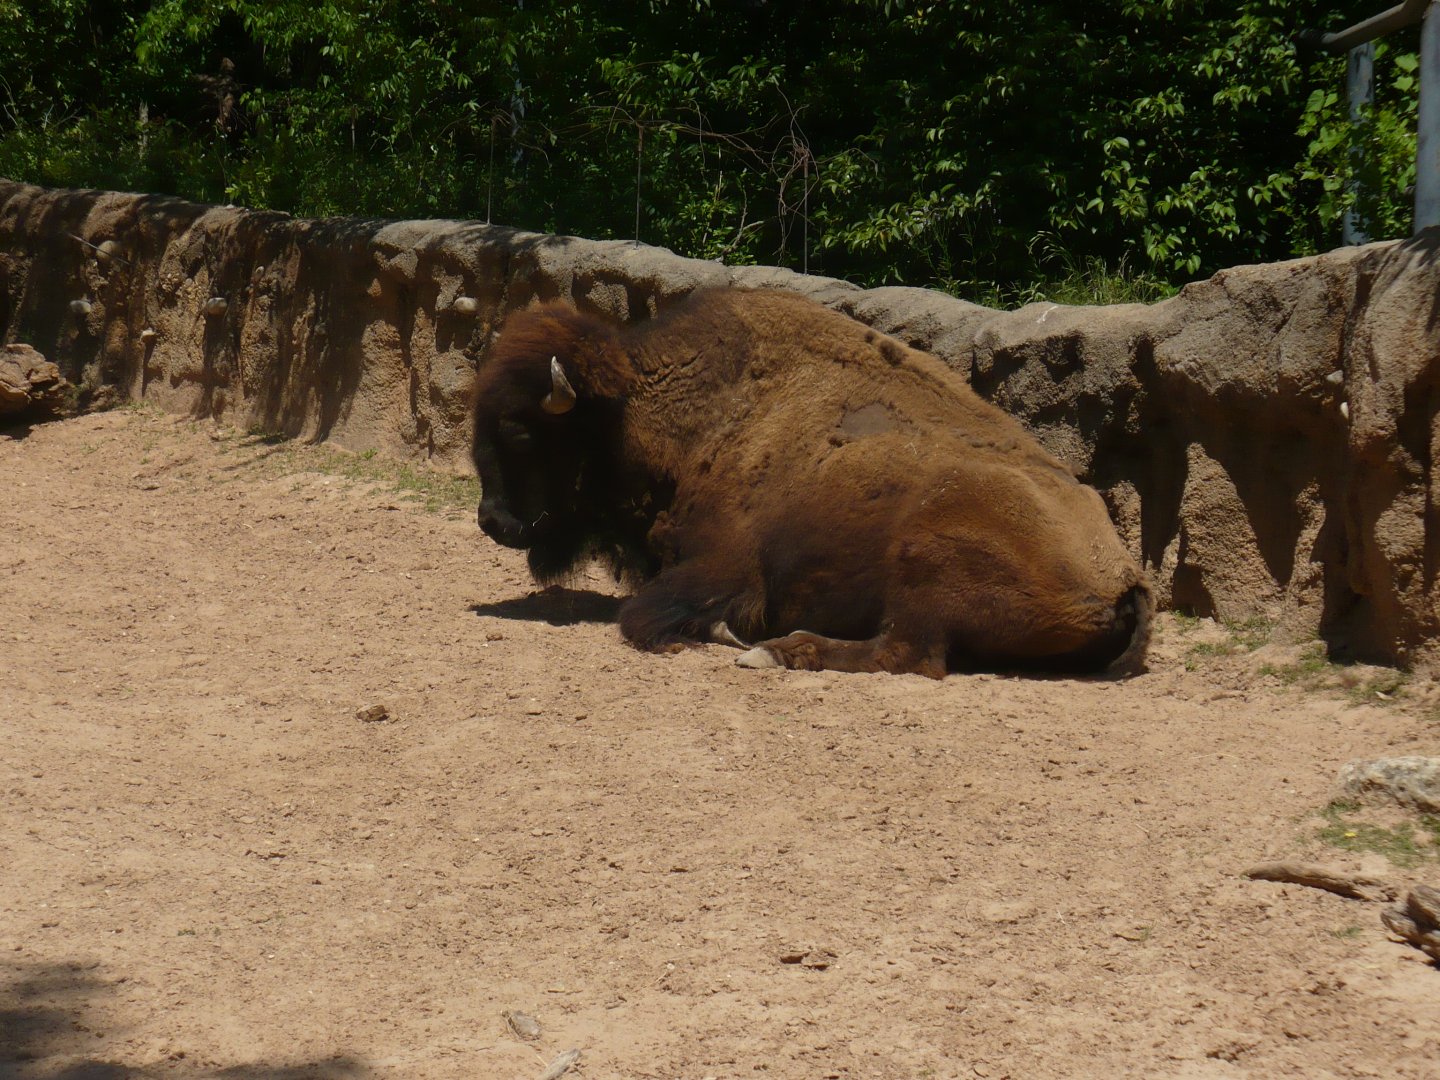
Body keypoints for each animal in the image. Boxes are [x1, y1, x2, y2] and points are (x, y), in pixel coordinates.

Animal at [471, 288, 1152, 677]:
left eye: (521, 431)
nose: (492, 521)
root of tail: (1123, 574)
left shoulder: (725, 567)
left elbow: (639, 617)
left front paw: (721, 634)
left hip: (927, 561)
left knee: (906, 655)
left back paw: (773, 651)